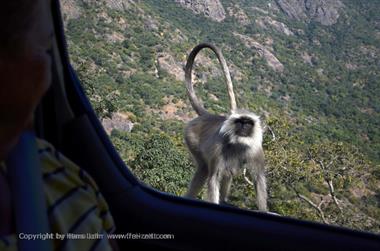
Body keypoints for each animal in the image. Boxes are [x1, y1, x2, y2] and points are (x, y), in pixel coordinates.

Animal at [183, 43, 268, 212]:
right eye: (240, 122)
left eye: (248, 123)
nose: (243, 128)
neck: (239, 143)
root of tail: (209, 116)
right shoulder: (219, 148)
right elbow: (214, 178)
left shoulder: (255, 150)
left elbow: (259, 180)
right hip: (191, 136)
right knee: (204, 169)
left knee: (228, 172)